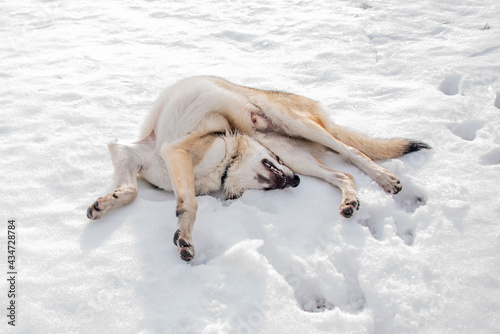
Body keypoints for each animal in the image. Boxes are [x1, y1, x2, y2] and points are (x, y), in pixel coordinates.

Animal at [87, 75, 430, 260]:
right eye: (276, 163)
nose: (296, 182)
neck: (224, 167)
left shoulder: (174, 151)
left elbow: (191, 205)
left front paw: (185, 238)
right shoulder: (131, 154)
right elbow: (131, 191)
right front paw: (104, 204)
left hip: (296, 131)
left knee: (352, 152)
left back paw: (385, 179)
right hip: (296, 155)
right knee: (342, 173)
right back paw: (350, 202)